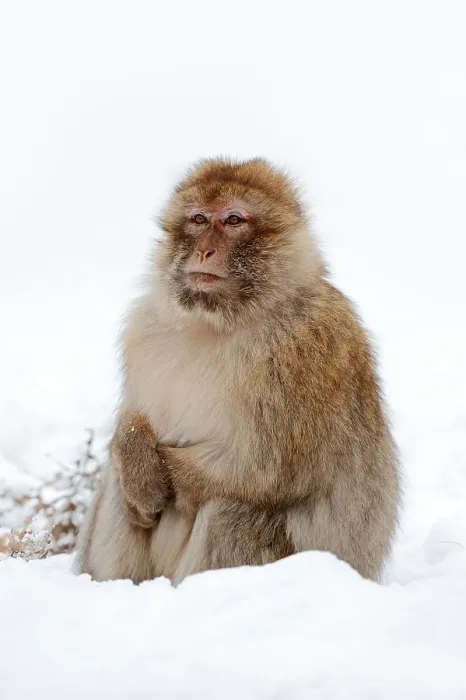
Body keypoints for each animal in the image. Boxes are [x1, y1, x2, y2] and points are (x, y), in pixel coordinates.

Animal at [75, 157, 401, 585]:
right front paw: (139, 467)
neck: (217, 324)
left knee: (233, 510)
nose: (204, 250)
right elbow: (132, 422)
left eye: (233, 220)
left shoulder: (305, 352)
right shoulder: (143, 331)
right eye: (198, 219)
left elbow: (261, 470)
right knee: (117, 481)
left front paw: (160, 475)